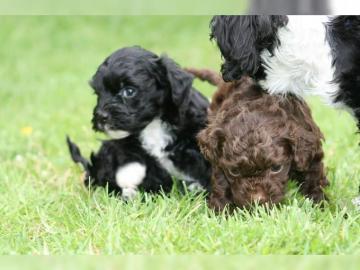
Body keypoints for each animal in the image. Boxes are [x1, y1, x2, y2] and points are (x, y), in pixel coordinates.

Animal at [187, 67, 330, 211]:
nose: (256, 201)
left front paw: (319, 204)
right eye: (234, 171)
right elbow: (220, 183)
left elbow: (313, 178)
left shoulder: (310, 153)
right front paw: (220, 210)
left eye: (276, 168)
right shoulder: (218, 161)